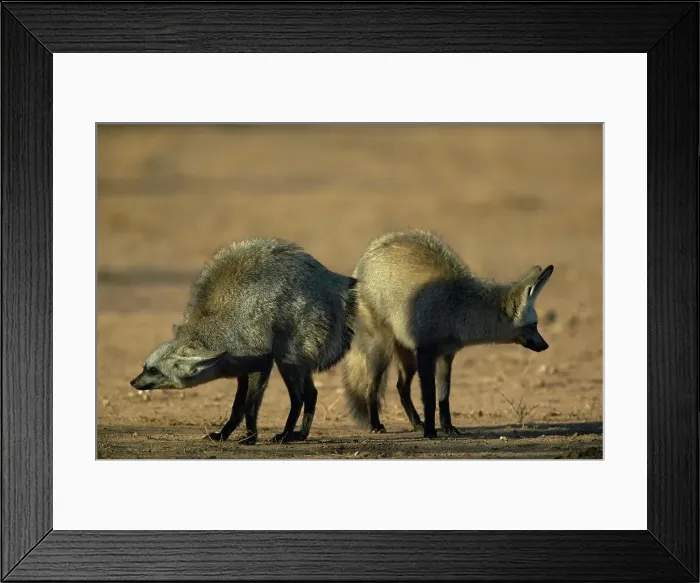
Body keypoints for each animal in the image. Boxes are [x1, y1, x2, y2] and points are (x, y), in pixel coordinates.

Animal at [130, 237, 358, 445]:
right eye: (145, 367)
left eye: (154, 371)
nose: (132, 382)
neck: (218, 329)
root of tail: (333, 280)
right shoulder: (242, 372)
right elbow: (237, 408)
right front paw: (223, 435)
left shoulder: (262, 364)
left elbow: (250, 406)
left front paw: (250, 438)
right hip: (299, 364)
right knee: (311, 393)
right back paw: (299, 435)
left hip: (287, 360)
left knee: (299, 398)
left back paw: (285, 436)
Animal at [342, 229, 554, 439]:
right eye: (534, 325)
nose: (546, 345)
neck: (458, 308)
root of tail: (368, 254)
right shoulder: (426, 353)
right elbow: (429, 398)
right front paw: (430, 431)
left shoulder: (446, 354)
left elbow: (444, 396)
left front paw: (447, 427)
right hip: (383, 352)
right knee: (371, 388)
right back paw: (376, 424)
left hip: (408, 359)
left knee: (401, 388)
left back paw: (416, 423)